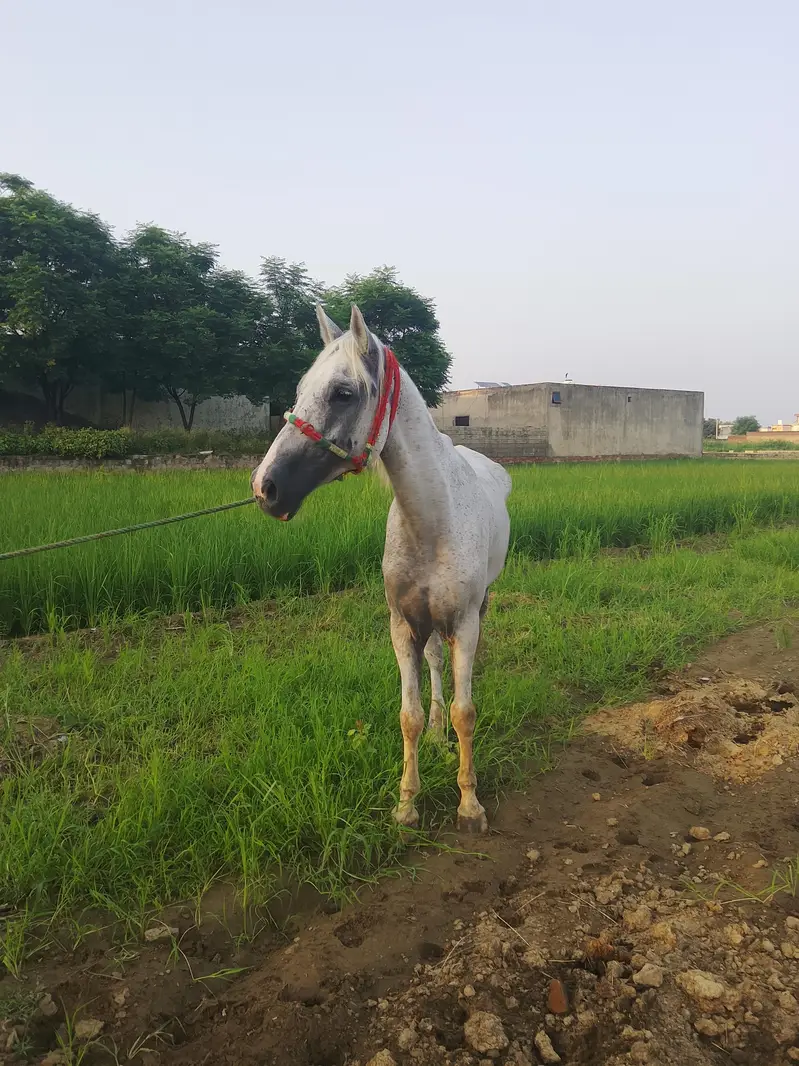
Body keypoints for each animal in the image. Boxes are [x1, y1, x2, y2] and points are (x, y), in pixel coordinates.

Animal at [252, 304, 511, 833]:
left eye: (343, 393)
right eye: (300, 389)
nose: (265, 488)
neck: (432, 520)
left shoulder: (464, 621)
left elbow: (467, 711)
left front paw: (469, 805)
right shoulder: (403, 623)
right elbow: (409, 714)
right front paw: (407, 802)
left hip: (477, 609)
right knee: (436, 664)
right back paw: (436, 735)